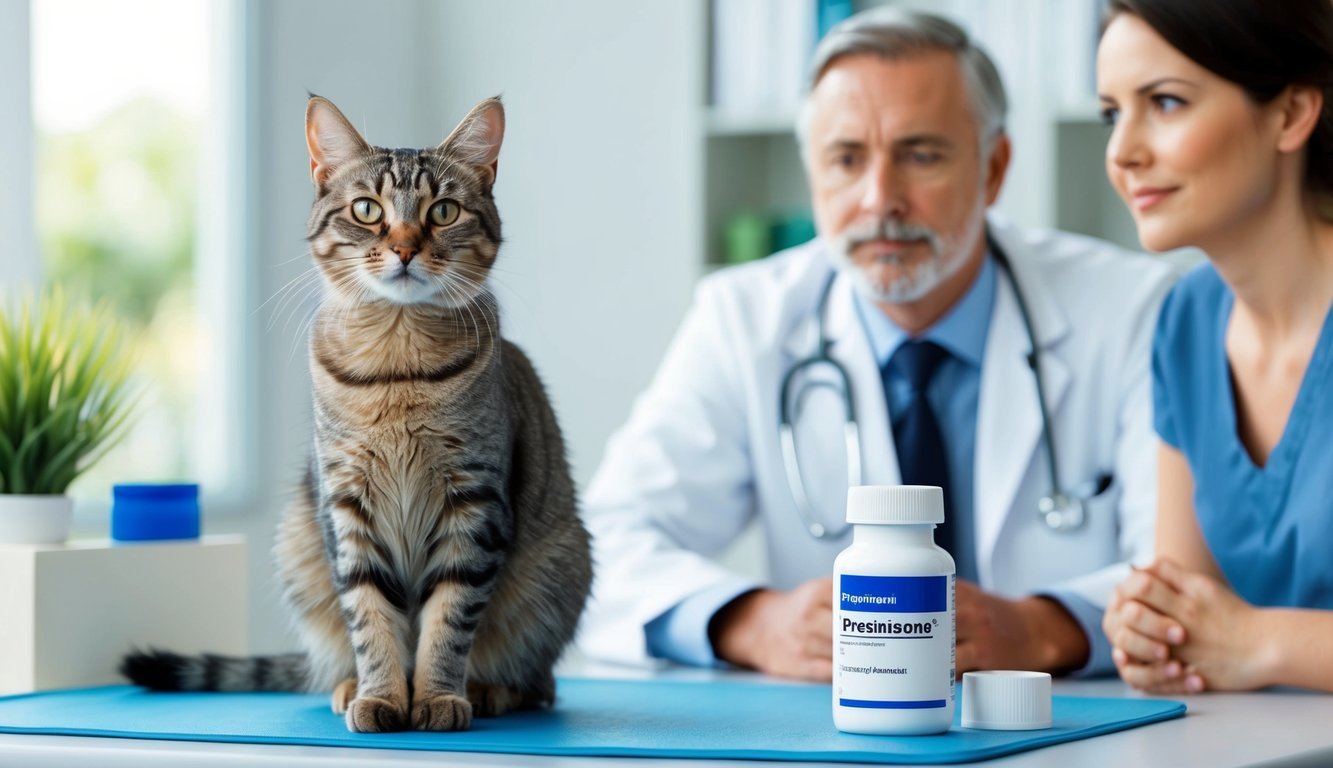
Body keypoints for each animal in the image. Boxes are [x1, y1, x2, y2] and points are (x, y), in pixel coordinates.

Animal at [123, 94, 594, 730]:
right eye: (368, 209)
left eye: (443, 211)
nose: (404, 248)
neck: (397, 368)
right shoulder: (345, 503)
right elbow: (370, 618)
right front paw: (382, 695)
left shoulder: (474, 501)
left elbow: (449, 619)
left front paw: (438, 695)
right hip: (299, 541)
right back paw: (348, 685)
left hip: (558, 568)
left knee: (541, 681)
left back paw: (490, 688)